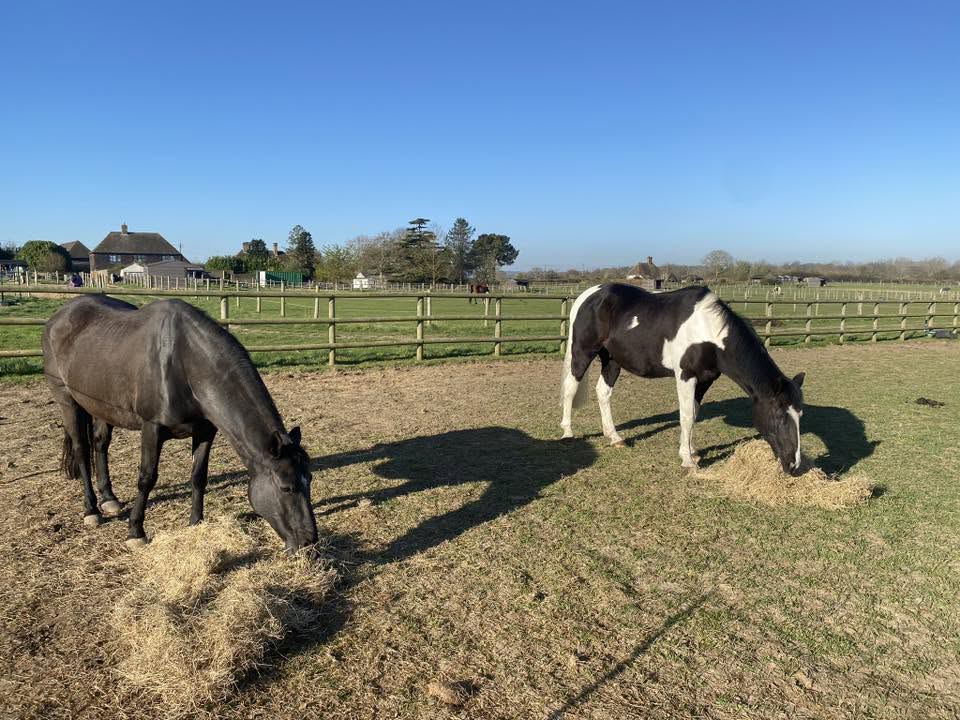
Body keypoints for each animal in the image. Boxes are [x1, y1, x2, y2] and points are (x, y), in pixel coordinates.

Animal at [42, 295, 318, 552]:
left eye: (310, 480)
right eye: (286, 488)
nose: (309, 542)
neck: (185, 363)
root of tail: (60, 315)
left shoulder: (206, 430)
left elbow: (198, 476)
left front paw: (196, 522)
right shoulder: (152, 428)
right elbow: (147, 478)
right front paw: (135, 532)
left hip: (102, 405)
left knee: (100, 445)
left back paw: (109, 499)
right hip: (68, 402)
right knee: (81, 450)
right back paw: (91, 510)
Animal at [560, 283, 805, 474]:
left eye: (799, 415)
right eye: (779, 415)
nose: (793, 465)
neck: (707, 331)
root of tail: (589, 295)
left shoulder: (705, 380)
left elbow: (694, 414)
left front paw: (692, 451)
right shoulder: (686, 376)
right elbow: (686, 416)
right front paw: (687, 461)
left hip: (612, 359)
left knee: (603, 392)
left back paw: (614, 437)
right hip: (583, 352)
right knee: (571, 388)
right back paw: (568, 433)